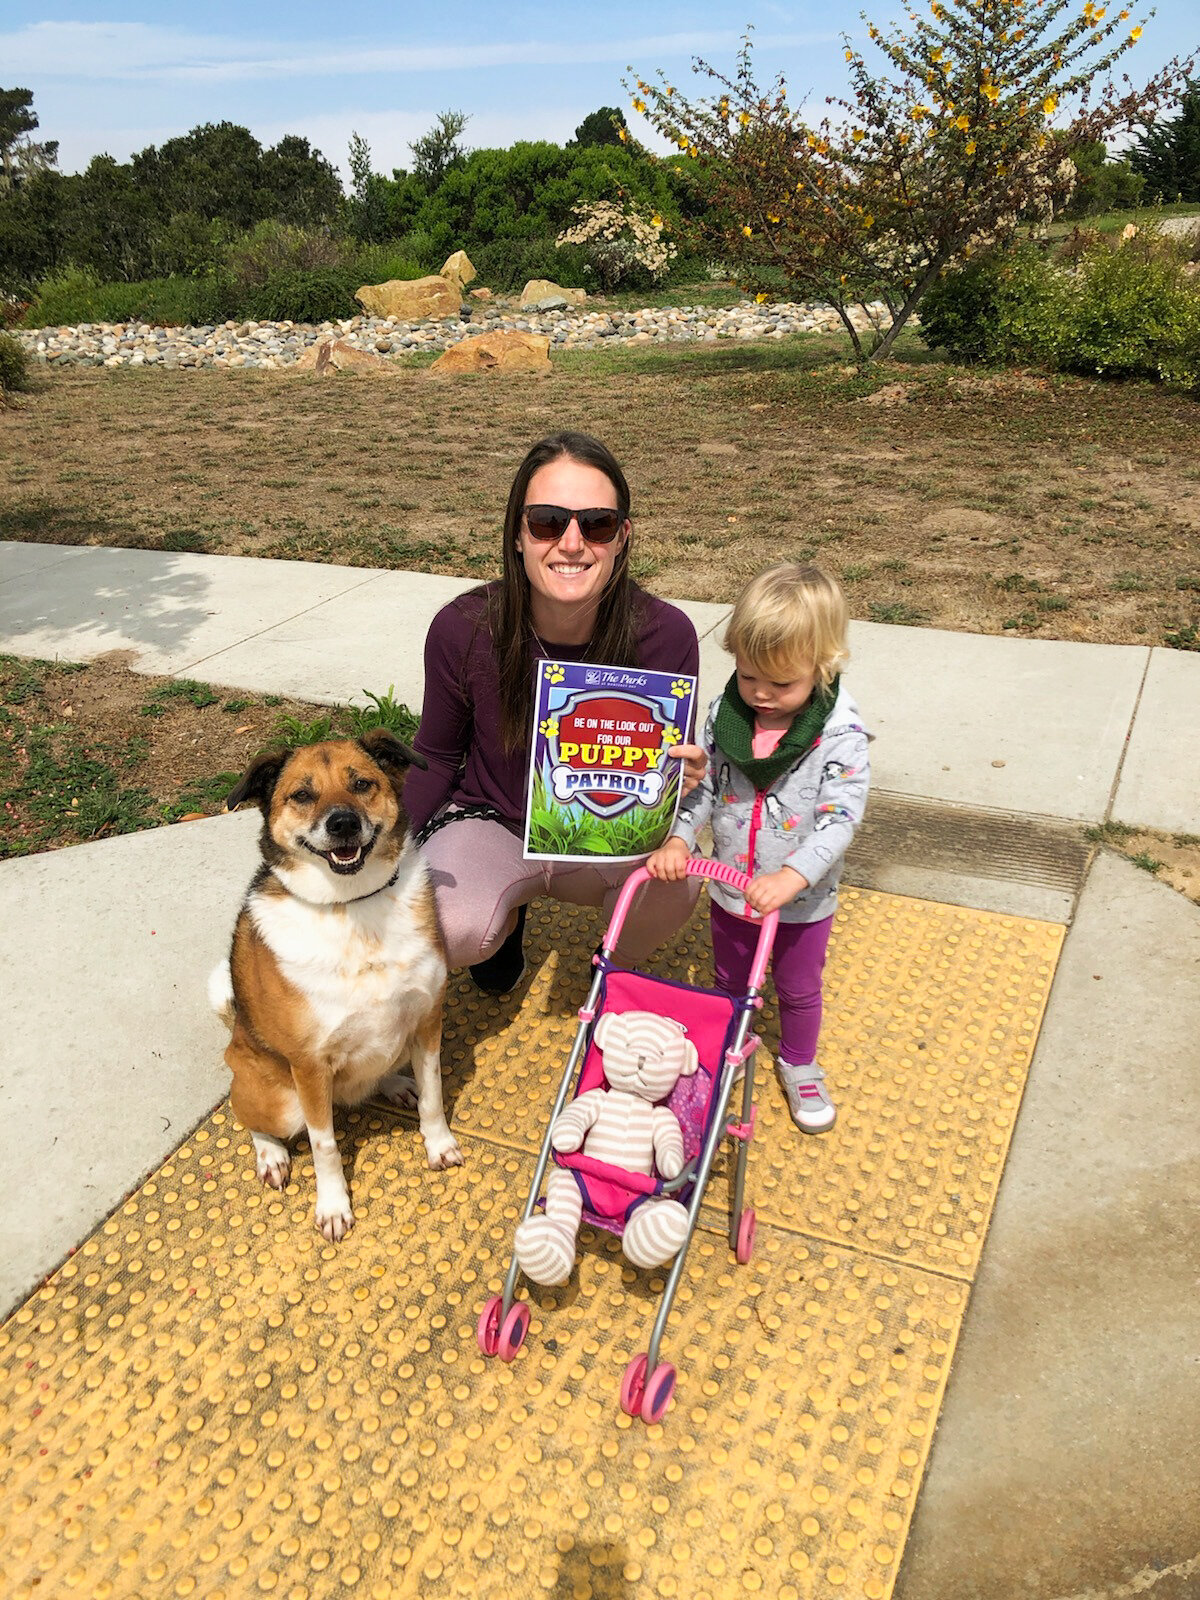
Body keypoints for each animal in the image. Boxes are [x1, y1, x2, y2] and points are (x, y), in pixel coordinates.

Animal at [209, 732, 464, 1241]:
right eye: (302, 795)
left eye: (362, 783)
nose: (343, 822)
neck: (352, 905)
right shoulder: (309, 1066)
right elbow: (324, 1145)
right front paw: (332, 1207)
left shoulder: (428, 1022)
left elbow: (434, 1096)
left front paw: (438, 1144)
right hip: (278, 1097)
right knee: (251, 1116)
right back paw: (271, 1154)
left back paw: (395, 1083)